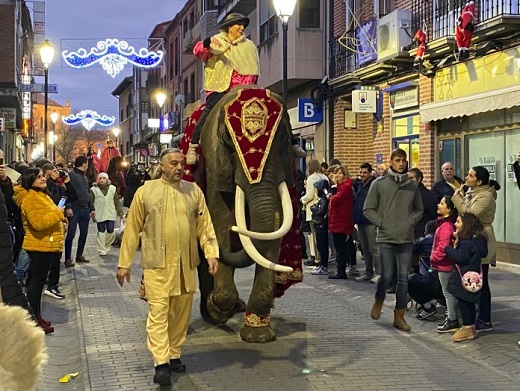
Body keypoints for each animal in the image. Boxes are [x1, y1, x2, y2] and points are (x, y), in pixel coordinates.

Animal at [185, 85, 302, 344]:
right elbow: (219, 219)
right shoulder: (214, 163)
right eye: (229, 143)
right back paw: (215, 312)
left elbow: (275, 225)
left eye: (284, 138)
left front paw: (258, 335)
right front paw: (220, 307)